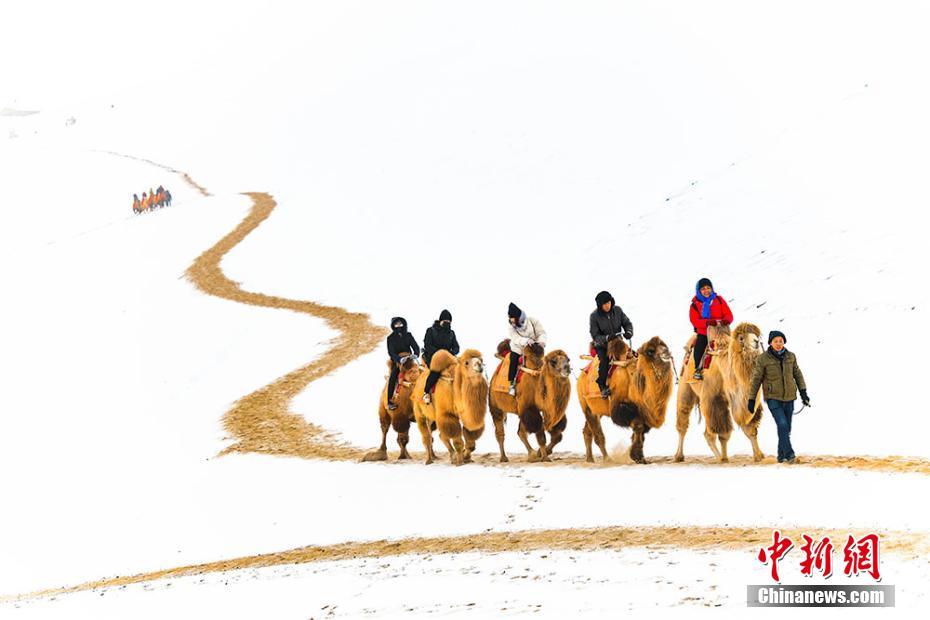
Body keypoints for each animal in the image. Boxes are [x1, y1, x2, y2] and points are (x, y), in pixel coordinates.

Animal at [676, 322, 760, 462]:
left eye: (756, 335)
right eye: (741, 338)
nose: (756, 341)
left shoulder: (739, 400)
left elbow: (750, 429)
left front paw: (759, 456)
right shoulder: (714, 399)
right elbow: (723, 434)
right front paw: (724, 459)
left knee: (706, 433)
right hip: (685, 386)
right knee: (684, 421)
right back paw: (679, 456)